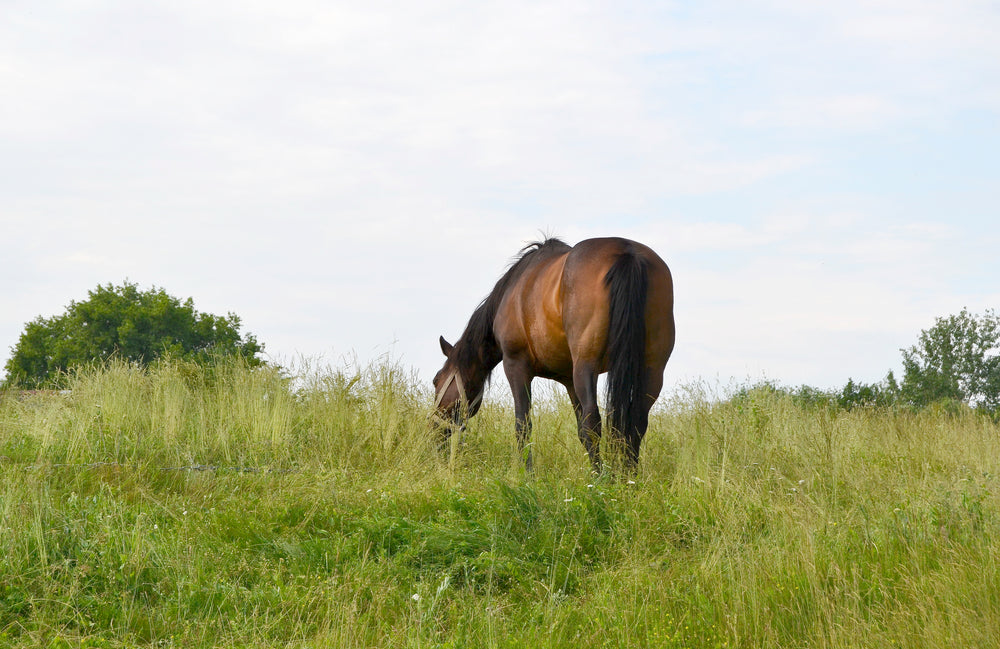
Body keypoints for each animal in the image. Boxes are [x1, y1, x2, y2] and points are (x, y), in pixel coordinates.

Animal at [431, 236, 675, 472]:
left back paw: (601, 479)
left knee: (593, 421)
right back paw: (628, 478)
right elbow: (580, 430)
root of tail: (627, 252)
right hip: (652, 371)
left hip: (586, 366)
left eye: (436, 381)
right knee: (636, 423)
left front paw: (526, 474)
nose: (434, 431)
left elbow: (523, 425)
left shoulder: (516, 365)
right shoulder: (569, 380)